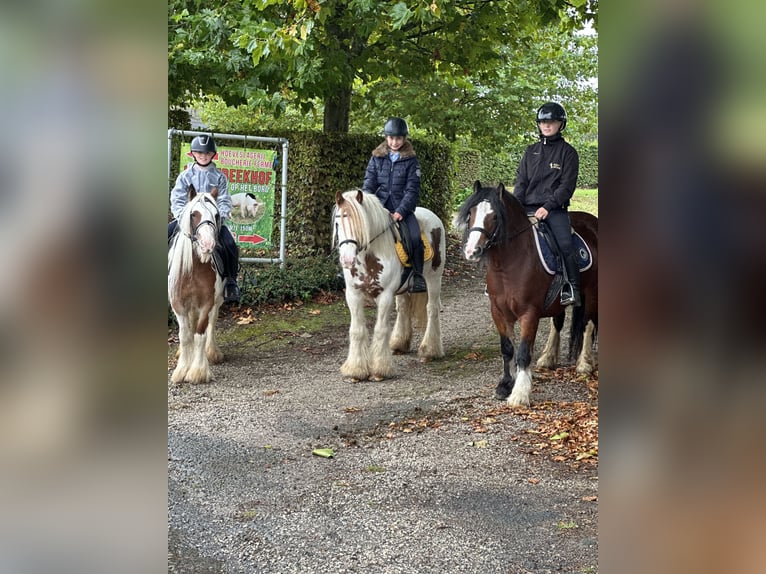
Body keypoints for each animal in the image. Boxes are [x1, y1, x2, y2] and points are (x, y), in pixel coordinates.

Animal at [169, 187, 225, 384]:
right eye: (194, 214)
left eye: (216, 215)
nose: (208, 244)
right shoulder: (178, 305)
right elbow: (185, 336)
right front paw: (181, 370)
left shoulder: (207, 303)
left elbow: (200, 334)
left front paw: (198, 371)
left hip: (217, 301)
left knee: (212, 324)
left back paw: (212, 352)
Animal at [456, 182, 600, 408]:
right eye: (471, 213)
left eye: (495, 216)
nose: (471, 251)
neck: (509, 264)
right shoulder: (498, 312)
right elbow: (507, 349)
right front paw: (505, 385)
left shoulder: (529, 313)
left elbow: (523, 353)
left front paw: (520, 393)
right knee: (558, 323)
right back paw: (548, 358)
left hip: (591, 292)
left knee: (588, 324)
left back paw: (584, 363)